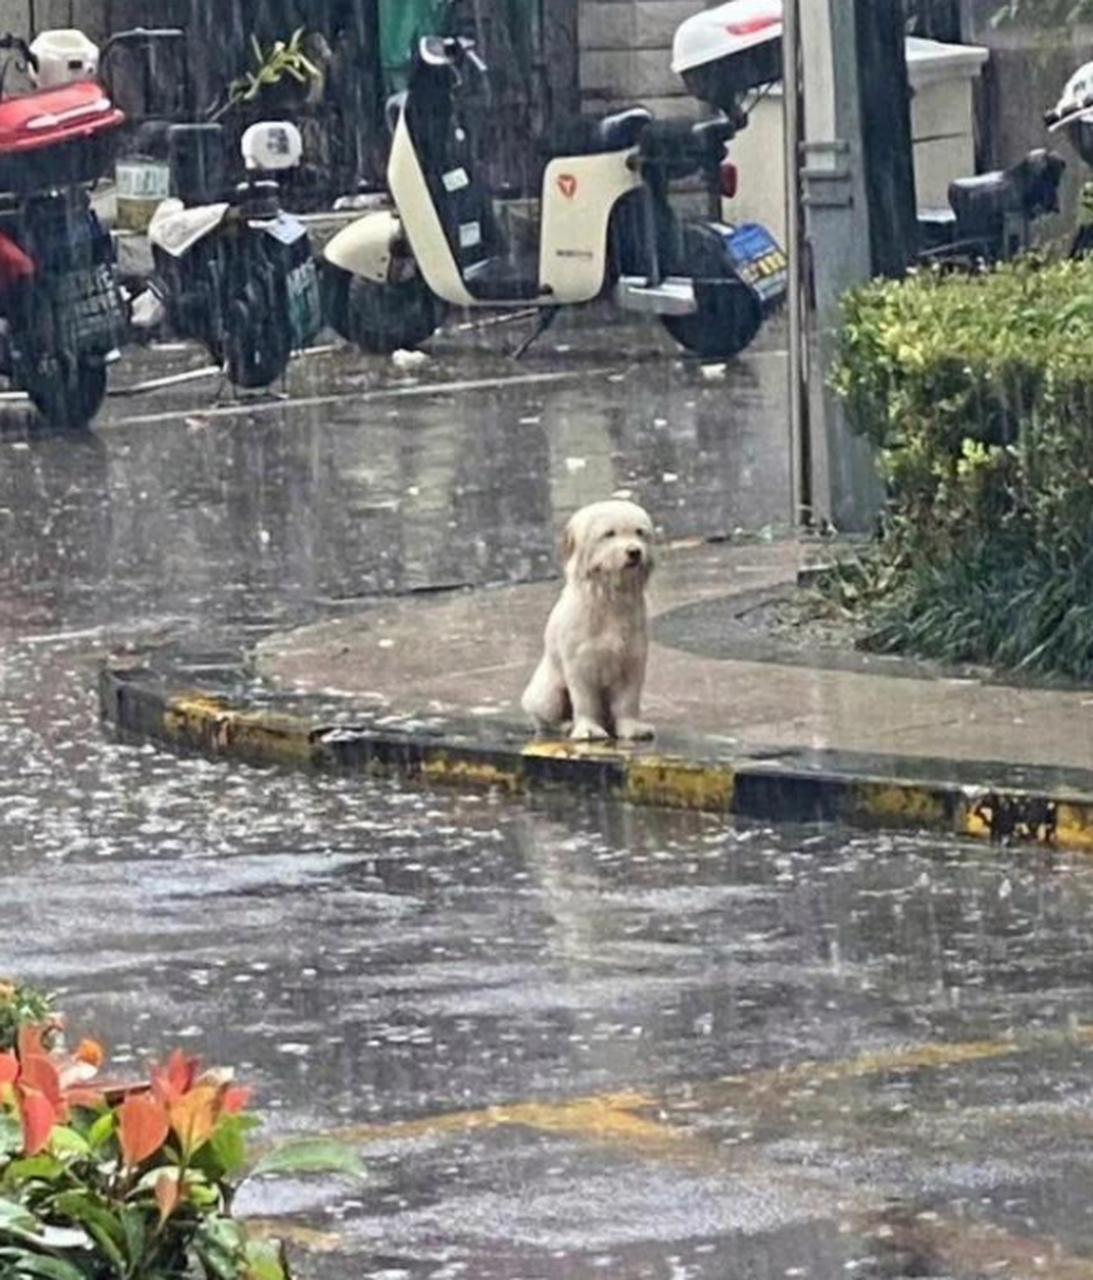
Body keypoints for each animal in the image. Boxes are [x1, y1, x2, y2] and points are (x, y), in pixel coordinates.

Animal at [524, 496, 655, 742]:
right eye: (609, 533)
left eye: (639, 532)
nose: (634, 552)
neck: (608, 597)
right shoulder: (579, 663)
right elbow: (584, 699)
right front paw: (587, 729)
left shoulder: (631, 660)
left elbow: (628, 699)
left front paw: (631, 727)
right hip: (548, 693)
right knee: (544, 717)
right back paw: (565, 725)